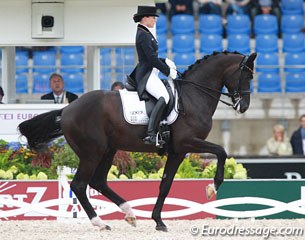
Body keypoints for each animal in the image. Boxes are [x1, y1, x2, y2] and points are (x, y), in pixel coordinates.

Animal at [17, 51, 255, 232]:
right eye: (246, 76)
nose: (243, 107)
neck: (193, 95)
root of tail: (66, 109)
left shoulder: (177, 152)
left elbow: (165, 184)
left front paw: (158, 221)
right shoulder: (187, 143)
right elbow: (221, 151)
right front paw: (212, 188)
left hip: (108, 150)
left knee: (98, 182)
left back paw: (129, 213)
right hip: (92, 153)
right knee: (79, 185)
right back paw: (100, 222)